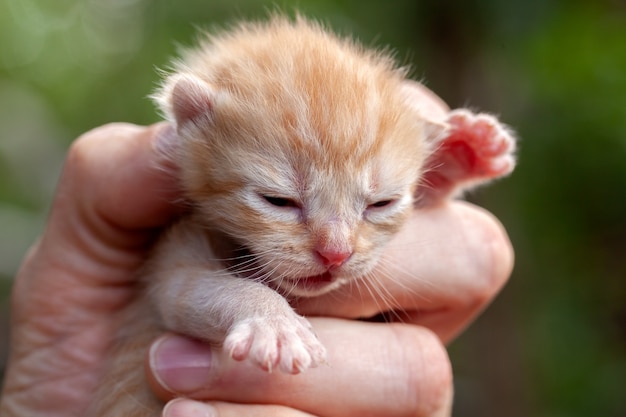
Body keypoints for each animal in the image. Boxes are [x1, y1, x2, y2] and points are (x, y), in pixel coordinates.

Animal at [89, 14, 516, 416]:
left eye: (381, 204)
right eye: (278, 200)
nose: (336, 253)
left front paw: (463, 145)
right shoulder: (170, 261)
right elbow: (194, 289)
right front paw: (275, 325)